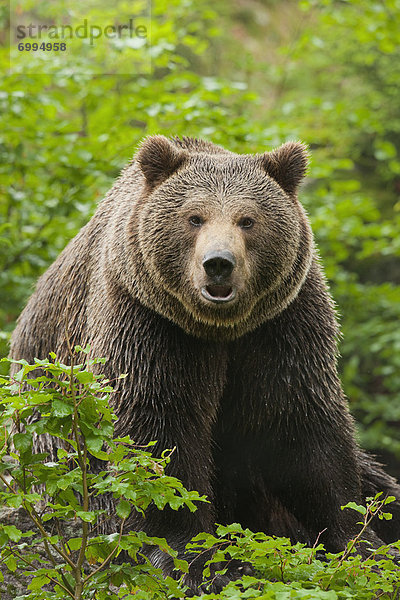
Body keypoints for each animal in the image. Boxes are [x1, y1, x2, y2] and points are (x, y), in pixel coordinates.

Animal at [9, 135, 400, 592]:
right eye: (194, 217)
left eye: (247, 220)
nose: (218, 264)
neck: (219, 329)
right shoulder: (149, 322)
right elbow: (157, 432)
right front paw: (198, 562)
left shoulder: (281, 326)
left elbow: (304, 429)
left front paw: (365, 545)